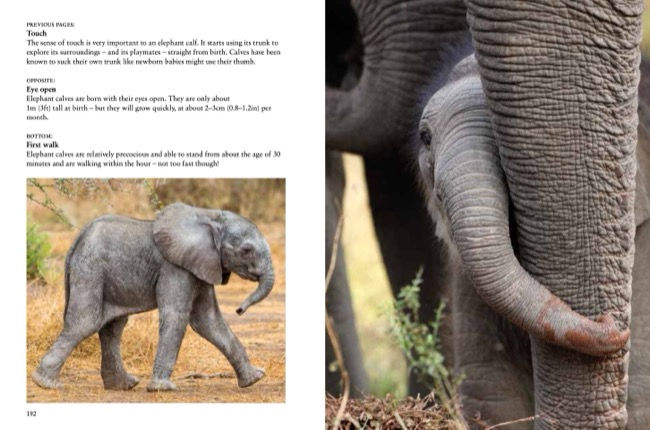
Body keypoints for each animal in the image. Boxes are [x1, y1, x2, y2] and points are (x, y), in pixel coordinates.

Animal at [31, 202, 274, 392]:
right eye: (246, 250)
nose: (239, 310)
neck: (209, 216)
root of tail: (77, 239)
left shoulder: (201, 264)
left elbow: (208, 321)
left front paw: (254, 379)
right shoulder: (175, 267)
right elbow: (177, 316)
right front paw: (162, 388)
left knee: (112, 327)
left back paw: (124, 385)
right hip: (90, 269)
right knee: (85, 322)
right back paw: (45, 383)